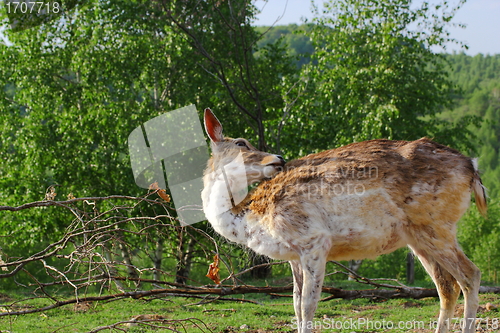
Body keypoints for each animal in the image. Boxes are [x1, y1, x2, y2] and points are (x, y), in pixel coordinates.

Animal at [201, 107, 486, 330]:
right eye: (240, 143)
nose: (279, 158)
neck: (248, 218)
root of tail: (472, 167)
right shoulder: (293, 255)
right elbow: (295, 304)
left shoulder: (313, 239)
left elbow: (308, 304)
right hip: (418, 237)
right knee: (447, 286)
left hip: (436, 225)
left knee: (470, 274)